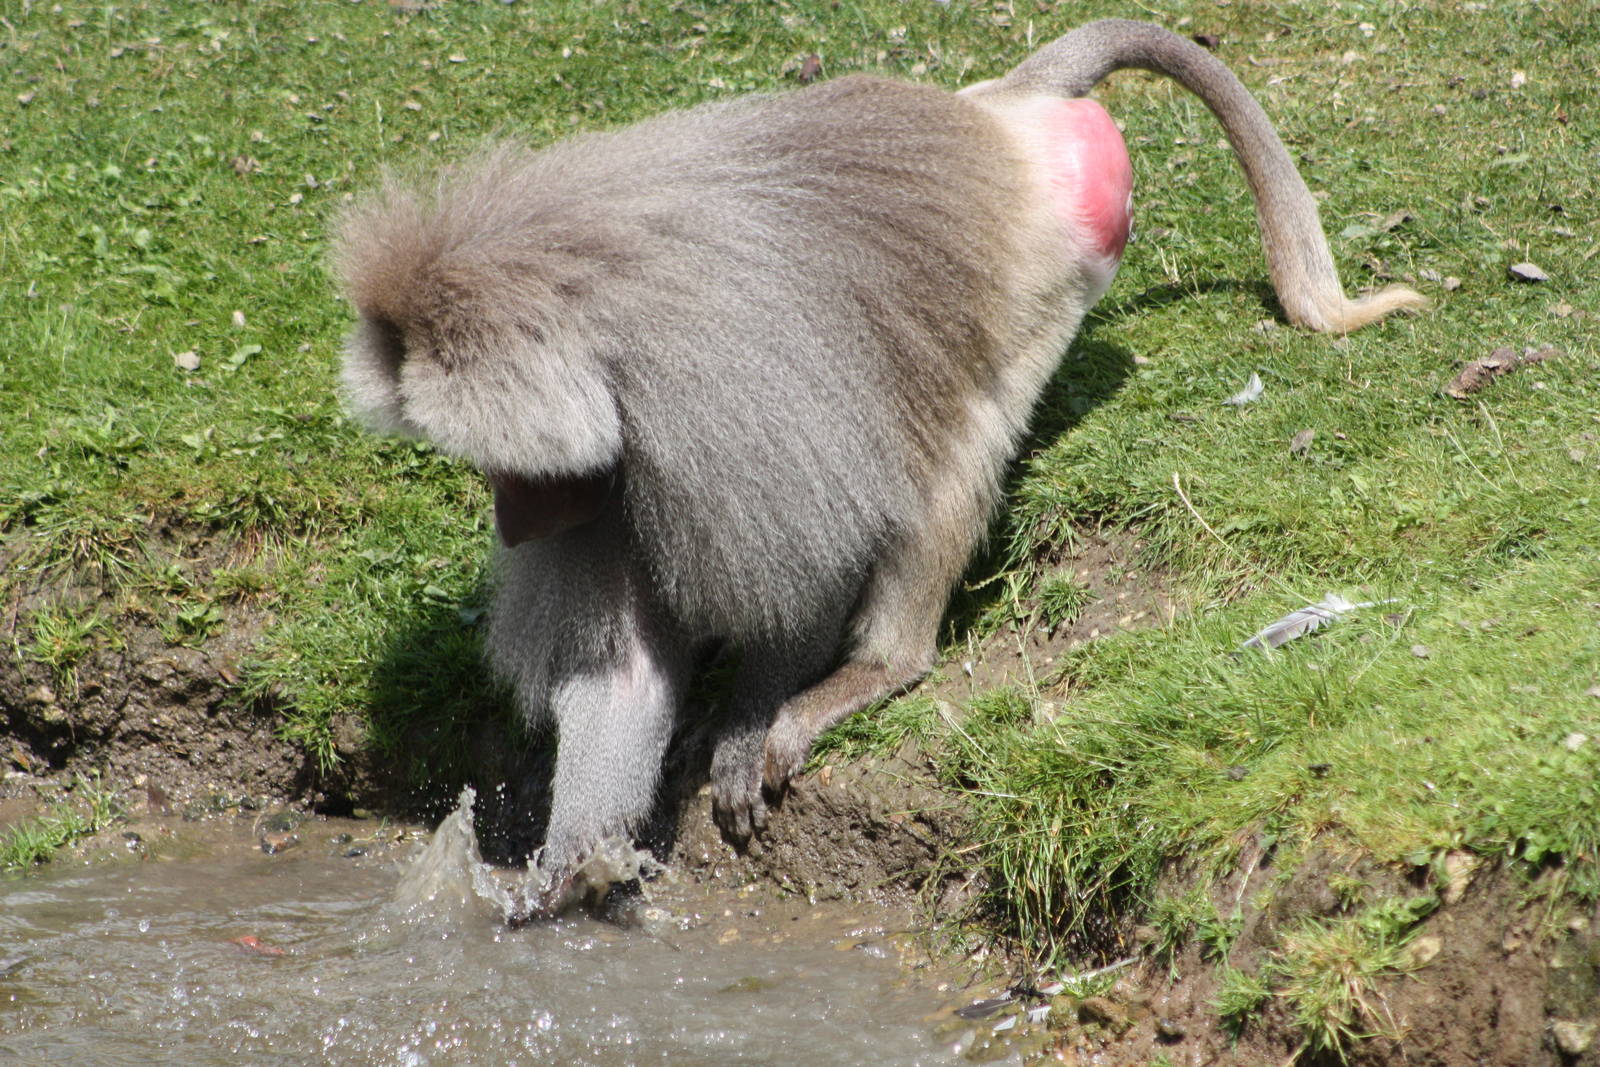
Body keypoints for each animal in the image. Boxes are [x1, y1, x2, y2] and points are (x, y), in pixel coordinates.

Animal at [332, 19, 1425, 914]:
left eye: (498, 472)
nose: (513, 523)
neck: (598, 332)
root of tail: (1001, 114)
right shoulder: (610, 483)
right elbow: (625, 671)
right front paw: (566, 872)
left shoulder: (718, 416)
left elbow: (814, 569)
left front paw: (746, 729)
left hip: (1054, 273)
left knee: (952, 458)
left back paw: (877, 669)